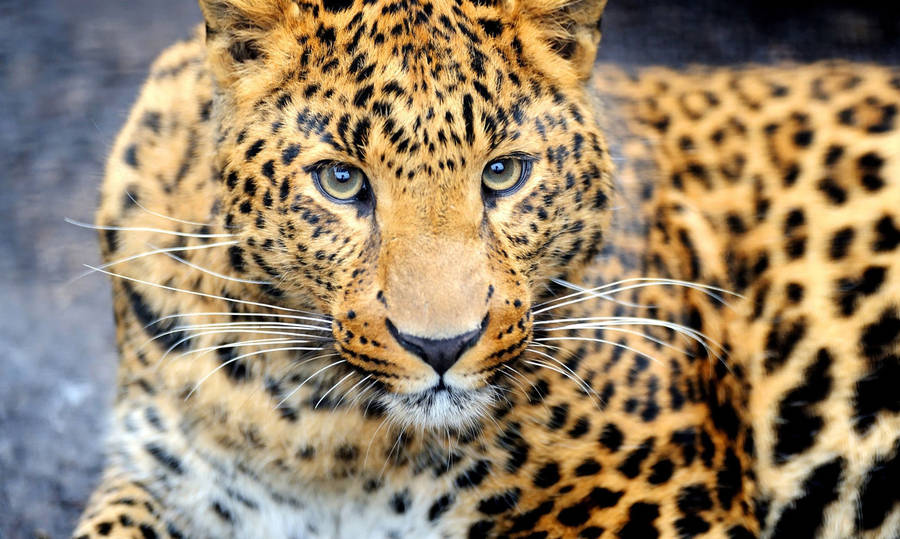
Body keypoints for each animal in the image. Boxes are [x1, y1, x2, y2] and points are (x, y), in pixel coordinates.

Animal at [73, 0, 900, 537]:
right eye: (341, 181)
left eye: (503, 173)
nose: (441, 347)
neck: (325, 437)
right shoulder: (167, 471)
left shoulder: (662, 497)